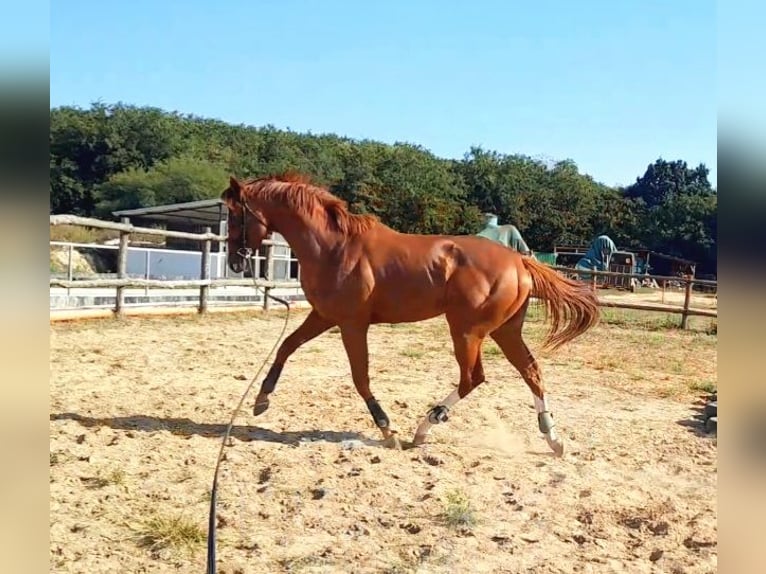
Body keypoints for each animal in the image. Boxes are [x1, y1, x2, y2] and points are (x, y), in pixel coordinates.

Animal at [219, 173, 604, 456]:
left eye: (235, 214)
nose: (235, 262)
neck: (334, 247)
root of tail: (519, 261)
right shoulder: (325, 316)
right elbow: (287, 346)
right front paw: (261, 400)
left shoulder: (352, 324)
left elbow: (360, 378)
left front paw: (387, 430)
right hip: (503, 330)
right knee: (530, 371)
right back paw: (553, 438)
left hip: (467, 331)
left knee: (473, 378)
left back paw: (424, 428)